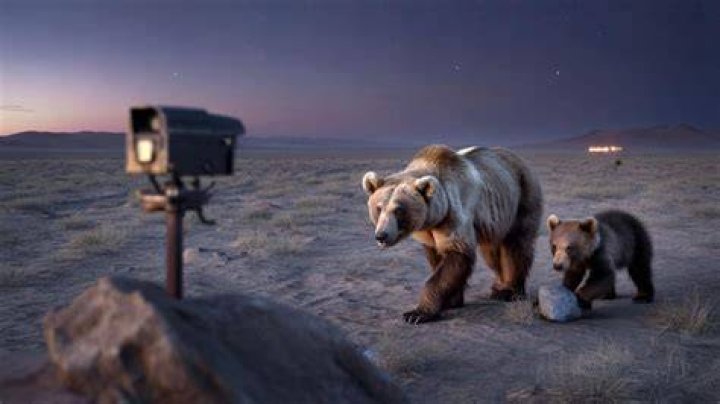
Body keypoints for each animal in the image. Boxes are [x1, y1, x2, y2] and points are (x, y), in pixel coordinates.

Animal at [362, 145, 543, 323]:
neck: (435, 215)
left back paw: (509, 291)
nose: (381, 235)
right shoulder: (429, 231)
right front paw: (451, 300)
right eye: (379, 208)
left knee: (515, 246)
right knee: (491, 253)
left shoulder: (454, 216)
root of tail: (518, 159)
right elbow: (438, 259)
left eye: (398, 210)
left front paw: (417, 313)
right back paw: (499, 285)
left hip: (521, 198)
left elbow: (456, 255)